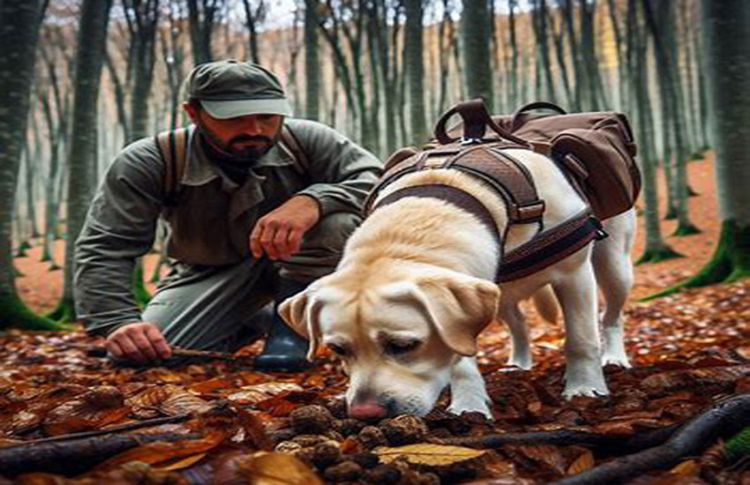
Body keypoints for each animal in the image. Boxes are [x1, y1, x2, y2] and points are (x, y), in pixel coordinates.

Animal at [280, 148, 636, 420]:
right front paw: (469, 406)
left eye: (403, 345)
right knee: (518, 324)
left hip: (615, 266)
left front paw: (585, 389)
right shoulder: (459, 315)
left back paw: (615, 358)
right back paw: (518, 365)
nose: (365, 415)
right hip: (499, 295)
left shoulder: (574, 274)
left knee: (611, 316)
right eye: (339, 349)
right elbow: (460, 361)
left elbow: (581, 339)